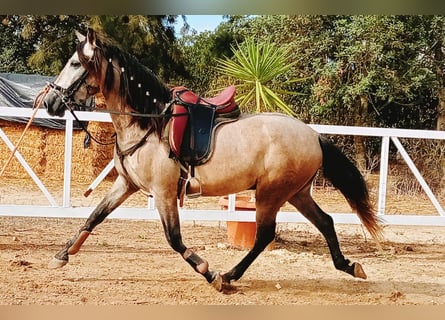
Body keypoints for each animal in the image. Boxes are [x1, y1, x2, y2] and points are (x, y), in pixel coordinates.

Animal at [40, 28, 382, 292]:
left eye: (74, 63)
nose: (51, 102)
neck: (149, 123)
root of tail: (313, 135)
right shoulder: (126, 184)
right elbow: (94, 217)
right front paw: (61, 255)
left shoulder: (164, 193)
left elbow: (175, 239)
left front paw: (208, 271)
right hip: (295, 193)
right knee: (325, 222)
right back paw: (348, 266)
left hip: (270, 194)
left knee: (265, 235)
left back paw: (228, 276)